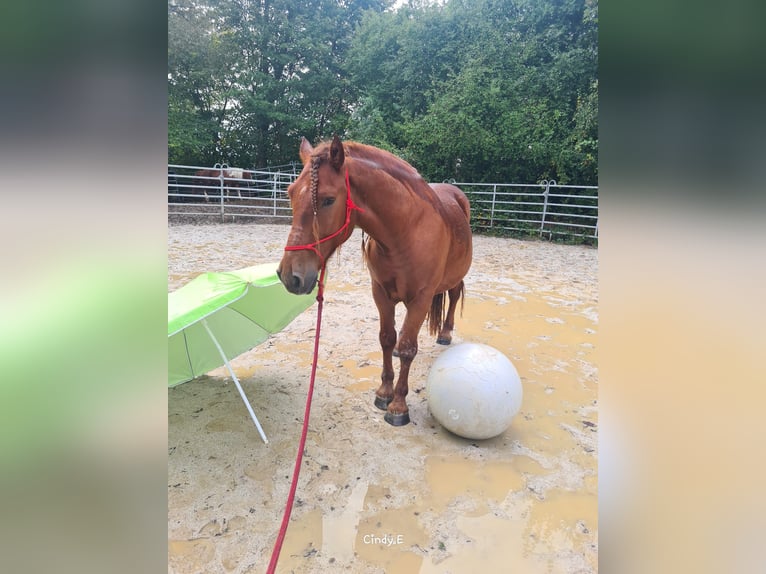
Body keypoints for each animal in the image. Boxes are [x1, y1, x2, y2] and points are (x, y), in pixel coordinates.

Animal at [278, 136, 474, 428]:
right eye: (290, 193)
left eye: (328, 200)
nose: (290, 276)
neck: (405, 232)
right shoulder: (380, 293)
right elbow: (387, 339)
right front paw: (384, 393)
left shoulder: (421, 298)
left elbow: (408, 348)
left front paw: (398, 406)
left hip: (454, 279)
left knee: (453, 297)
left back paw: (446, 333)